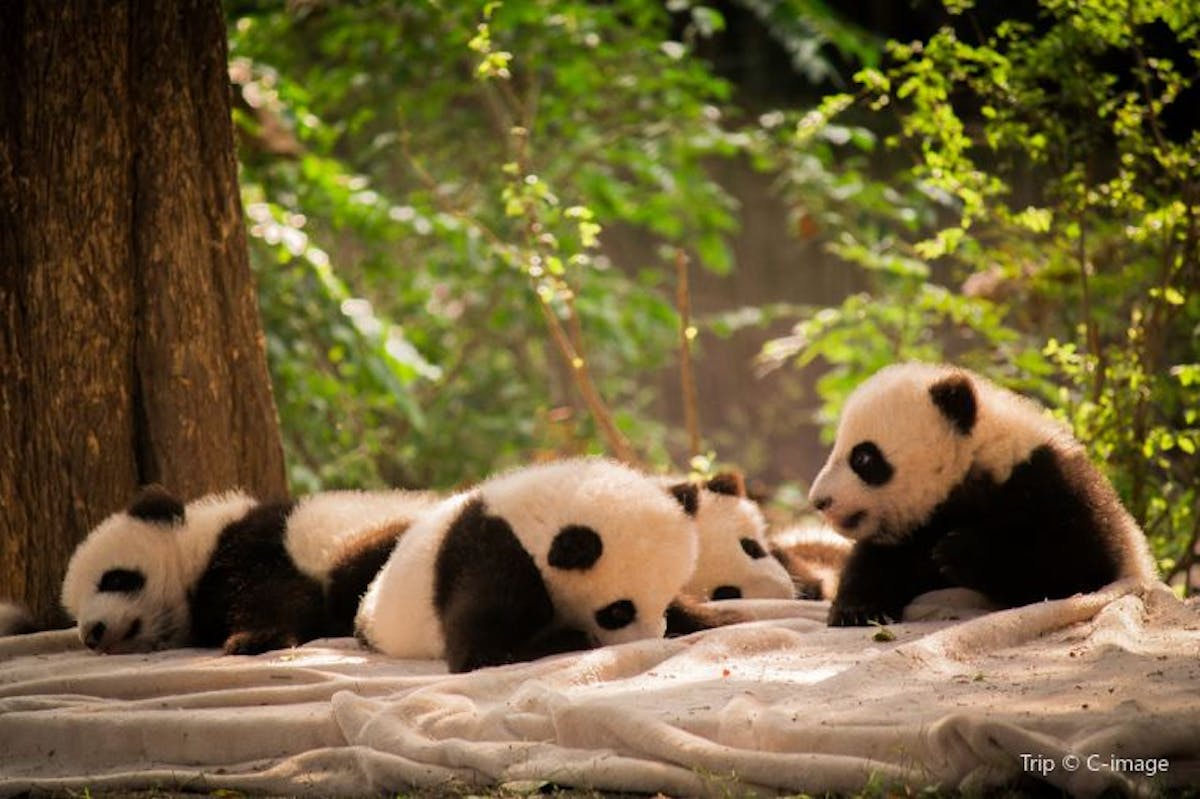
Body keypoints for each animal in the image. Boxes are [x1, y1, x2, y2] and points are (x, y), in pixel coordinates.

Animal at [61, 485, 437, 655]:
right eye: (74, 613)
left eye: (114, 579)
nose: (92, 633)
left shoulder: (259, 544)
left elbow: (270, 592)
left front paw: (255, 639)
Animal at [356, 457, 703, 673]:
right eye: (618, 612)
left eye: (663, 604)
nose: (649, 641)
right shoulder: (494, 555)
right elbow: (482, 654)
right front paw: (571, 639)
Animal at [808, 362, 1157, 626]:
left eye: (863, 458)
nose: (819, 501)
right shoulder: (913, 525)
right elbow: (878, 559)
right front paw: (857, 610)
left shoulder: (1054, 487)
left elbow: (1077, 568)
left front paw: (957, 551)